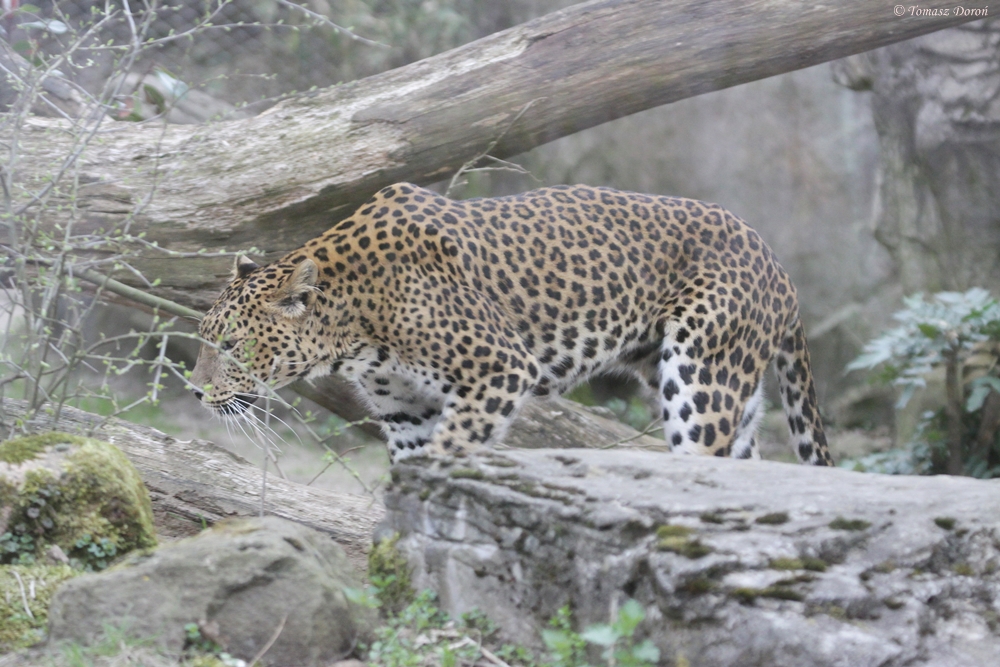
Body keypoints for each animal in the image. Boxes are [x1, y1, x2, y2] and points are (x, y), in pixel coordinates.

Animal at [190, 183, 833, 466]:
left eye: (232, 344)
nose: (194, 392)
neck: (355, 329)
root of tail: (777, 263)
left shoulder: (499, 372)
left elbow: (448, 453)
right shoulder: (405, 410)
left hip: (701, 380)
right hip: (722, 386)